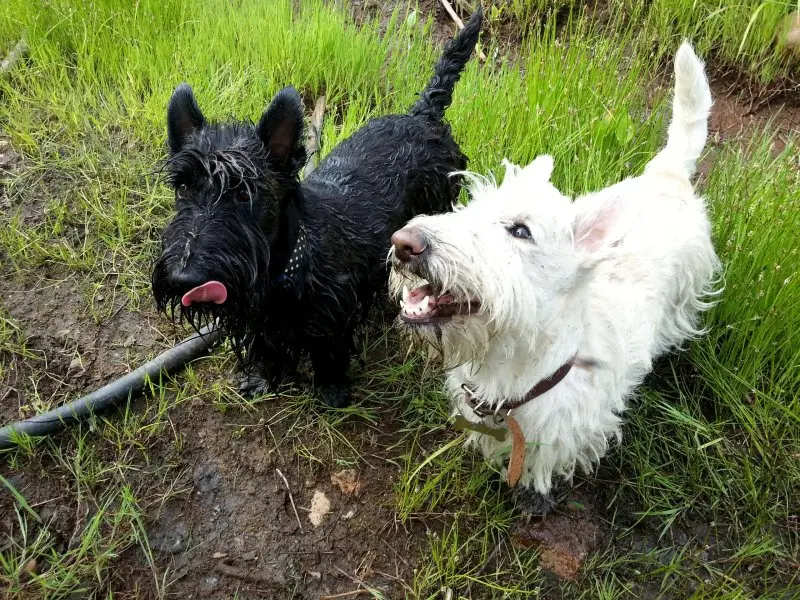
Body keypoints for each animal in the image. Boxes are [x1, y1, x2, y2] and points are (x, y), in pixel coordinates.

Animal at [153, 8, 484, 408]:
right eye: (183, 186)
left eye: (246, 193)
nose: (185, 277)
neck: (285, 266)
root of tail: (423, 114)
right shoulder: (261, 321)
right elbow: (263, 347)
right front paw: (260, 378)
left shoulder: (332, 318)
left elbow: (328, 352)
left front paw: (331, 390)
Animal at [386, 43, 720, 510]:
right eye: (467, 206)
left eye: (521, 231)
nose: (404, 242)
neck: (513, 364)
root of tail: (667, 176)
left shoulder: (560, 436)